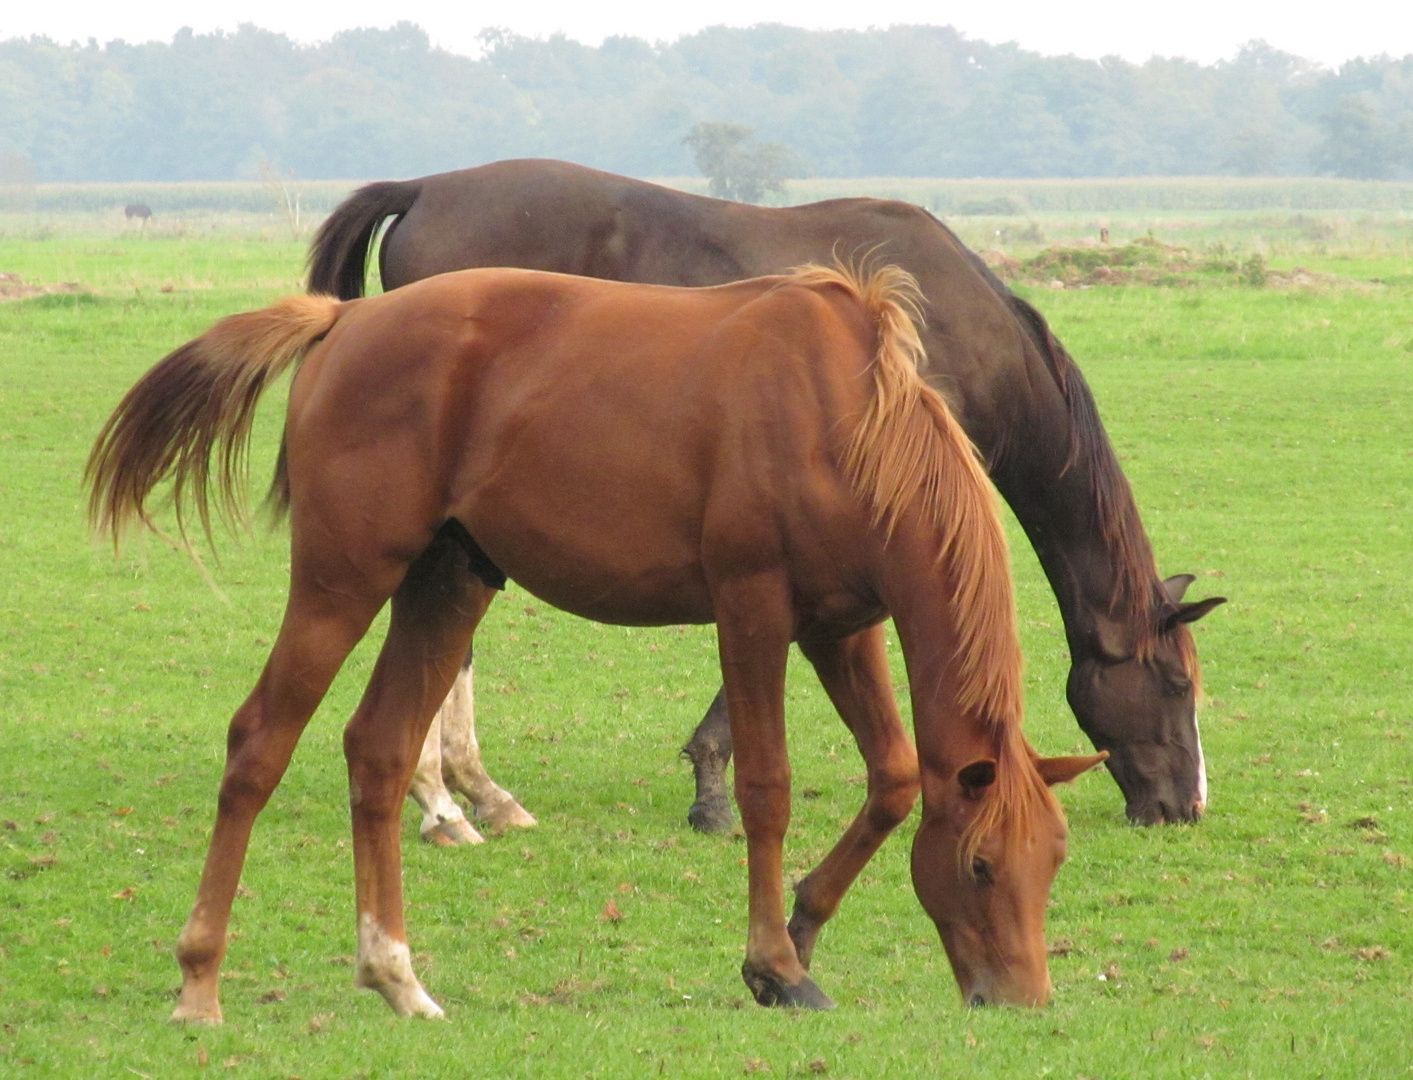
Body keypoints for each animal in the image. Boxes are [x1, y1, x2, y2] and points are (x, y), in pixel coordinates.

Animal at [88, 264, 1107, 1023]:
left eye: (1054, 862)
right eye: (979, 866)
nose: (1022, 1000)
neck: (844, 418)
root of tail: (345, 320)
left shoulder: (841, 626)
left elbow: (893, 778)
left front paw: (805, 923)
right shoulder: (752, 612)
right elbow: (766, 788)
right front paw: (774, 966)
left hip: (446, 586)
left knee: (377, 752)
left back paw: (398, 977)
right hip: (344, 580)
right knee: (259, 743)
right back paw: (199, 981)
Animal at [309, 158, 1226, 825]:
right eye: (1175, 685)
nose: (1185, 807)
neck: (956, 330)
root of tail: (426, 188)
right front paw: (714, 787)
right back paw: (446, 796)